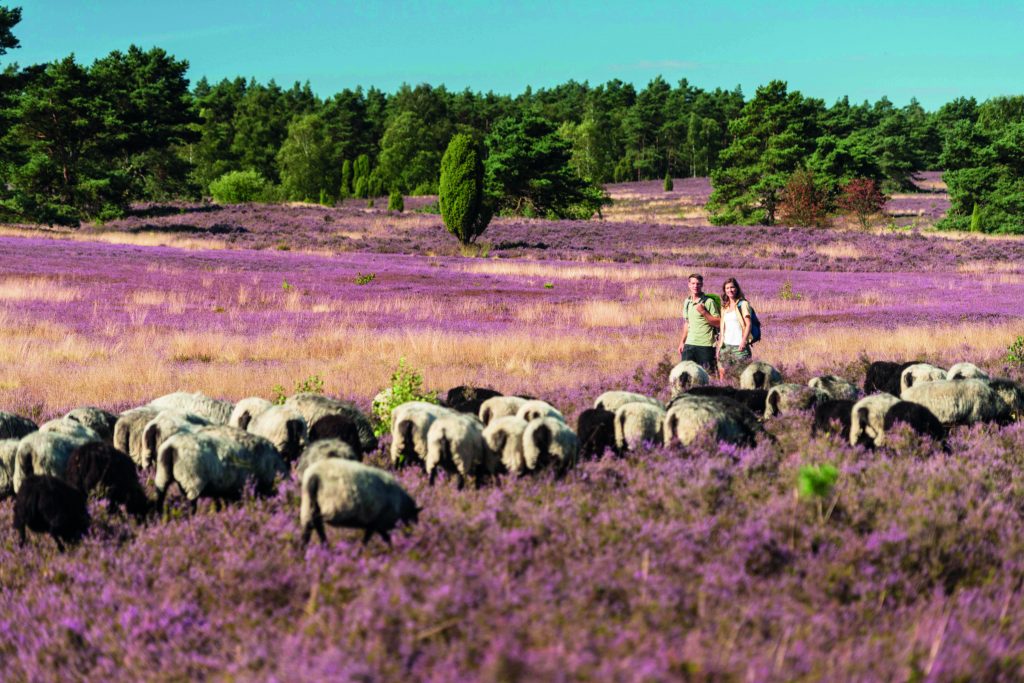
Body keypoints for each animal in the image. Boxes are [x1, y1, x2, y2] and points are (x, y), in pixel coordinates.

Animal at [157, 423, 290, 516]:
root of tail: (171, 447)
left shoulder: (224, 489)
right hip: (192, 481)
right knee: (191, 505)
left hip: (163, 476)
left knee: (160, 498)